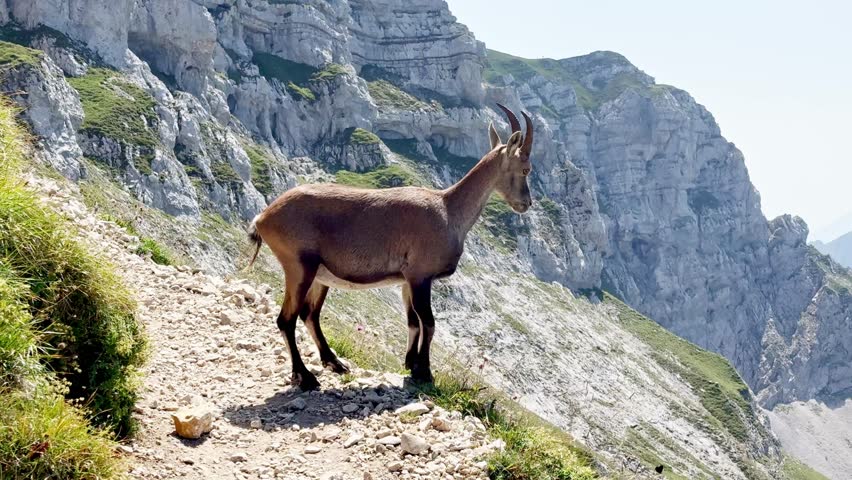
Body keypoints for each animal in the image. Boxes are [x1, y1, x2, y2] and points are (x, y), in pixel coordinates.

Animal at [247, 104, 534, 390]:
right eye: (526, 169)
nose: (526, 203)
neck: (448, 210)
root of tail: (263, 217)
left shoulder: (407, 279)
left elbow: (413, 322)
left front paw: (410, 364)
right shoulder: (420, 275)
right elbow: (429, 323)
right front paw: (425, 373)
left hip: (320, 276)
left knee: (309, 314)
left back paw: (335, 363)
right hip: (299, 267)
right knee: (286, 319)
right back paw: (305, 376)